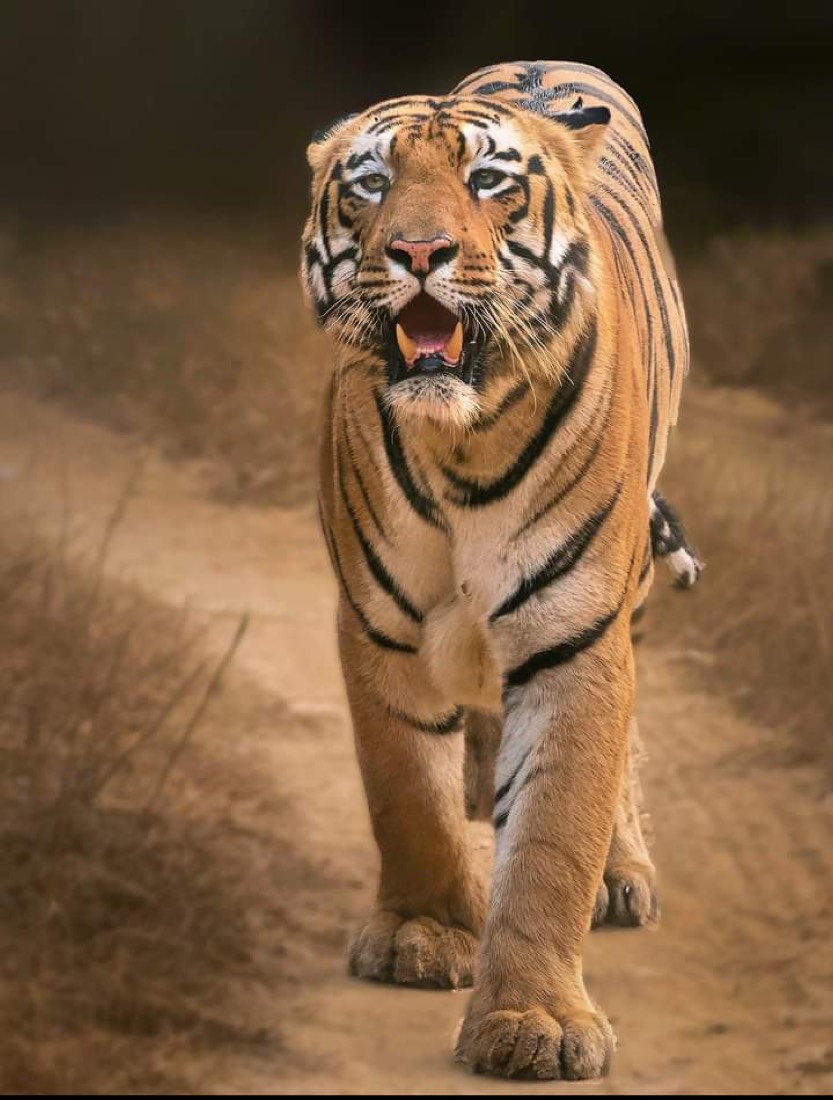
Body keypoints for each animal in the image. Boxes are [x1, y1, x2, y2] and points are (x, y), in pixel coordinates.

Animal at [300, 59, 701, 1081]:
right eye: (372, 184)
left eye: (487, 183)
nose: (419, 251)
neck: (461, 443)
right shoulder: (380, 624)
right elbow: (405, 789)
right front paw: (422, 934)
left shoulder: (575, 635)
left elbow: (556, 830)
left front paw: (533, 1021)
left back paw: (619, 874)